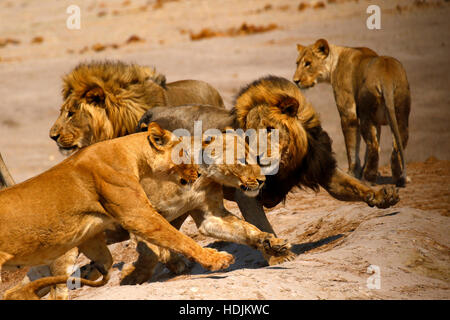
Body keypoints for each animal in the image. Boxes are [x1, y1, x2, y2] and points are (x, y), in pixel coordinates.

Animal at [0, 123, 232, 300]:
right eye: (187, 153)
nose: (199, 173)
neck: (132, 155)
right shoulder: (139, 216)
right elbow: (178, 238)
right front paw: (216, 260)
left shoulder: (90, 236)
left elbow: (107, 260)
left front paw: (92, 270)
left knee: (18, 290)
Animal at [294, 39, 410, 188]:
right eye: (297, 63)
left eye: (308, 63)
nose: (295, 80)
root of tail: (386, 78)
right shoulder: (377, 121)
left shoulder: (348, 114)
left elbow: (352, 145)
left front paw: (352, 173)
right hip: (401, 114)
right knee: (397, 145)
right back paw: (398, 179)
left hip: (367, 115)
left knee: (373, 145)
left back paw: (368, 179)